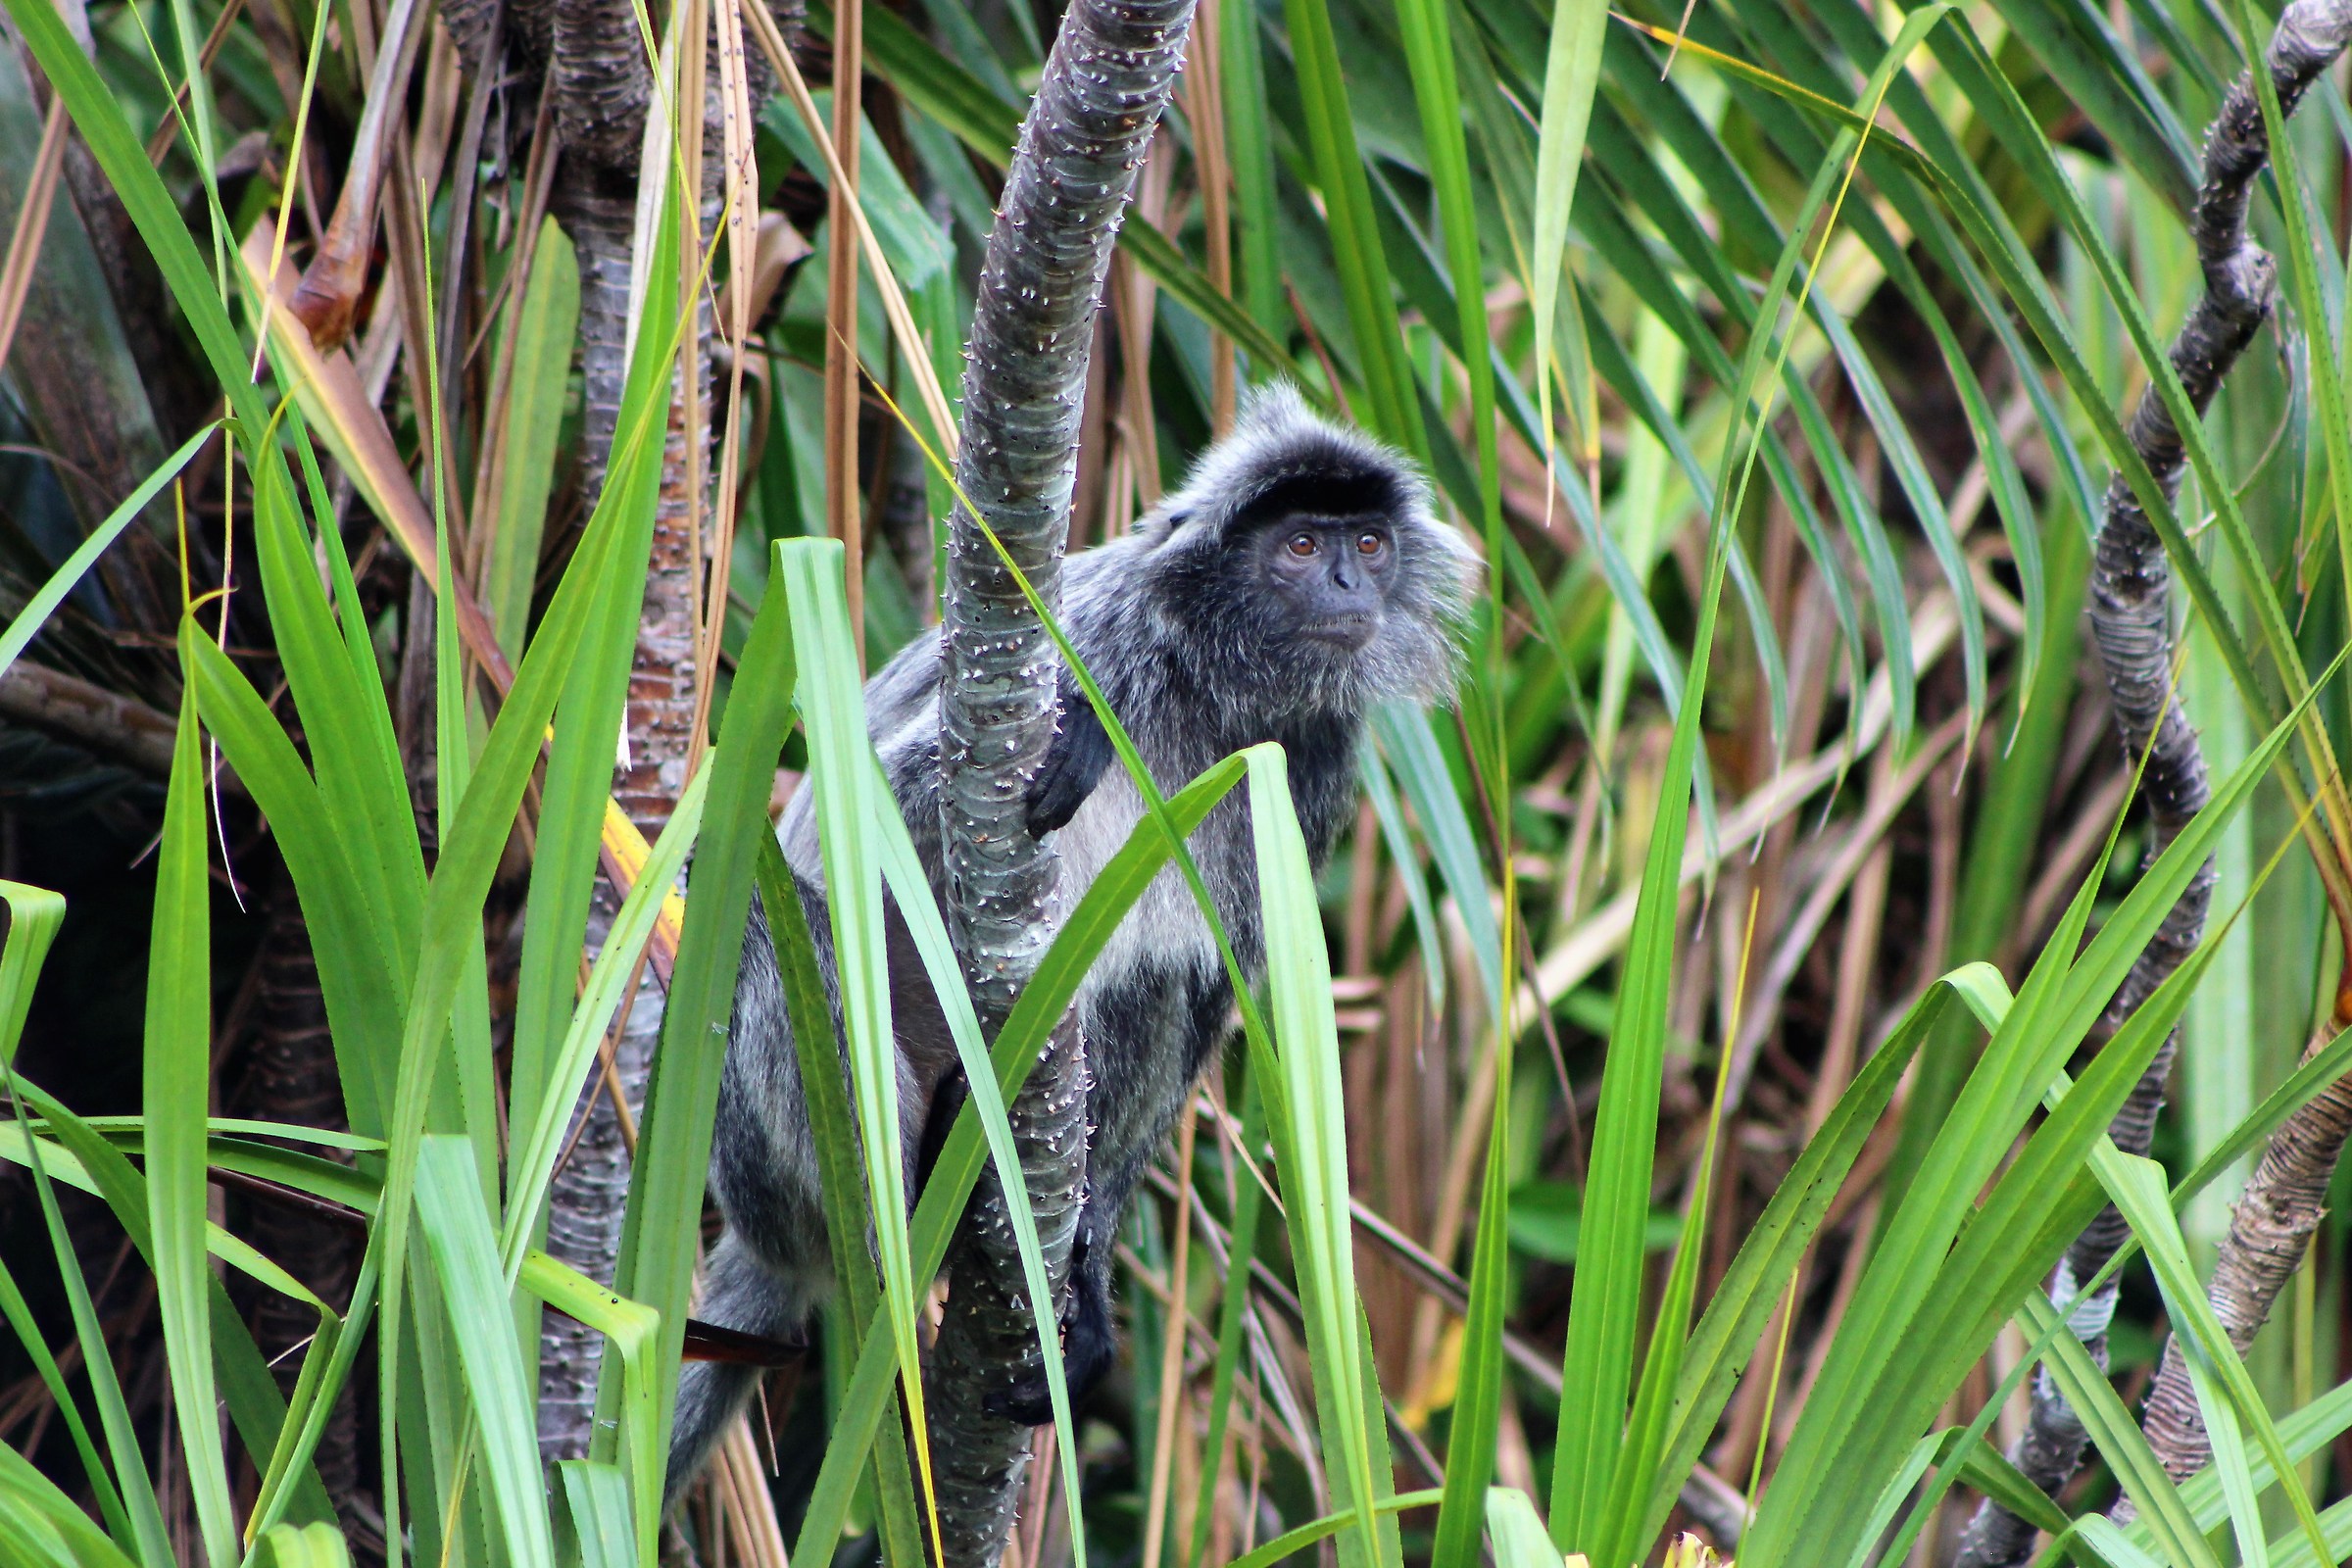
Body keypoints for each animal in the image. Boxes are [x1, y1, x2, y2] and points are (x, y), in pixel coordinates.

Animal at [666, 385, 1477, 1497]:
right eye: (1303, 546)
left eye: (1369, 542)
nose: (1352, 581)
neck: (1209, 689)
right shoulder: (1088, 638)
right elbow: (859, 818)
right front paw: (1084, 740)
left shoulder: (1310, 761)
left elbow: (1212, 991)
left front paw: (1088, 1278)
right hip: (764, 1159)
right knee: (773, 901)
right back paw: (909, 1209)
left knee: (1156, 980)